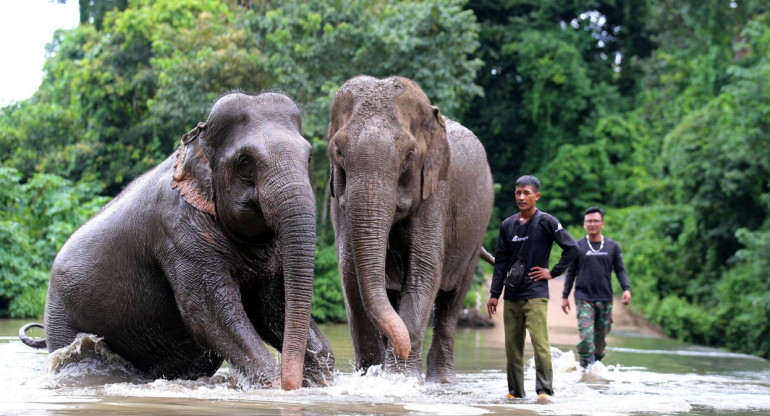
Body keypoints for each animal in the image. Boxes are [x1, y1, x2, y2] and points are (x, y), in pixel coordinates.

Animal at [19, 91, 332, 390]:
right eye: (245, 163)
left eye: (309, 158)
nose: (291, 385)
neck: (198, 141)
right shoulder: (178, 231)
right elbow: (208, 314)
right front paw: (273, 387)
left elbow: (272, 308)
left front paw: (320, 382)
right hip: (61, 316)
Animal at [324, 75, 492, 384]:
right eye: (338, 152)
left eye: (409, 155)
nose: (400, 351)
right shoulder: (337, 199)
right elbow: (350, 271)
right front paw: (372, 376)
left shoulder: (436, 191)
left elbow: (424, 269)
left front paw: (400, 380)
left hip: (476, 233)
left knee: (452, 301)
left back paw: (442, 381)